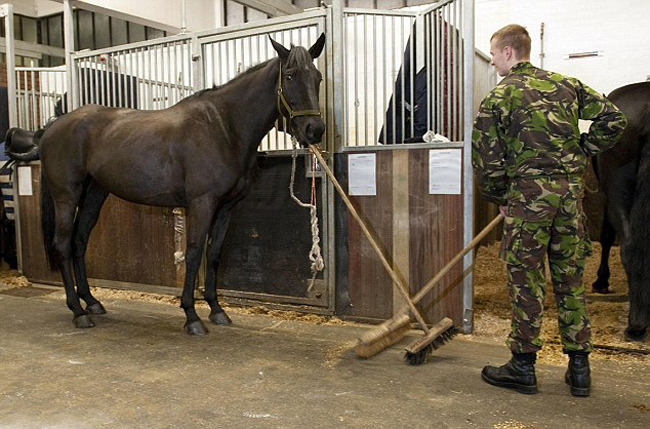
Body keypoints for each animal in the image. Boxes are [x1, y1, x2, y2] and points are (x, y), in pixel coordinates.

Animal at [36, 33, 324, 334]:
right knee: (63, 245)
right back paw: (78, 311)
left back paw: (92, 303)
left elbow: (214, 253)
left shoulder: (226, 207)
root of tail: (53, 126)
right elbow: (195, 253)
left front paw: (216, 309)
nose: (314, 130)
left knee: (79, 242)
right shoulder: (201, 203)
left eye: (317, 77)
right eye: (289, 76)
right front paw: (192, 315)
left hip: (94, 193)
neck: (224, 127)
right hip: (67, 195)